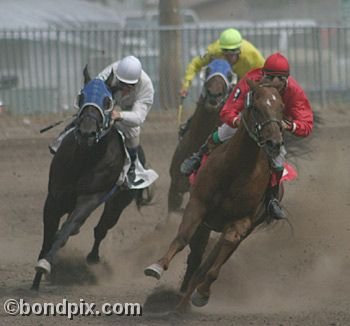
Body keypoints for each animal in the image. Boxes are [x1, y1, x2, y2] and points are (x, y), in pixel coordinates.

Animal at [145, 78, 284, 310]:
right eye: (256, 107)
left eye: (281, 108)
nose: (274, 143)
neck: (236, 170)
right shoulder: (197, 205)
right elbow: (182, 237)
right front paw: (156, 266)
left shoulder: (241, 222)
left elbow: (222, 253)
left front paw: (202, 293)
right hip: (204, 222)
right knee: (196, 254)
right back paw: (182, 294)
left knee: (213, 257)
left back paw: (189, 295)